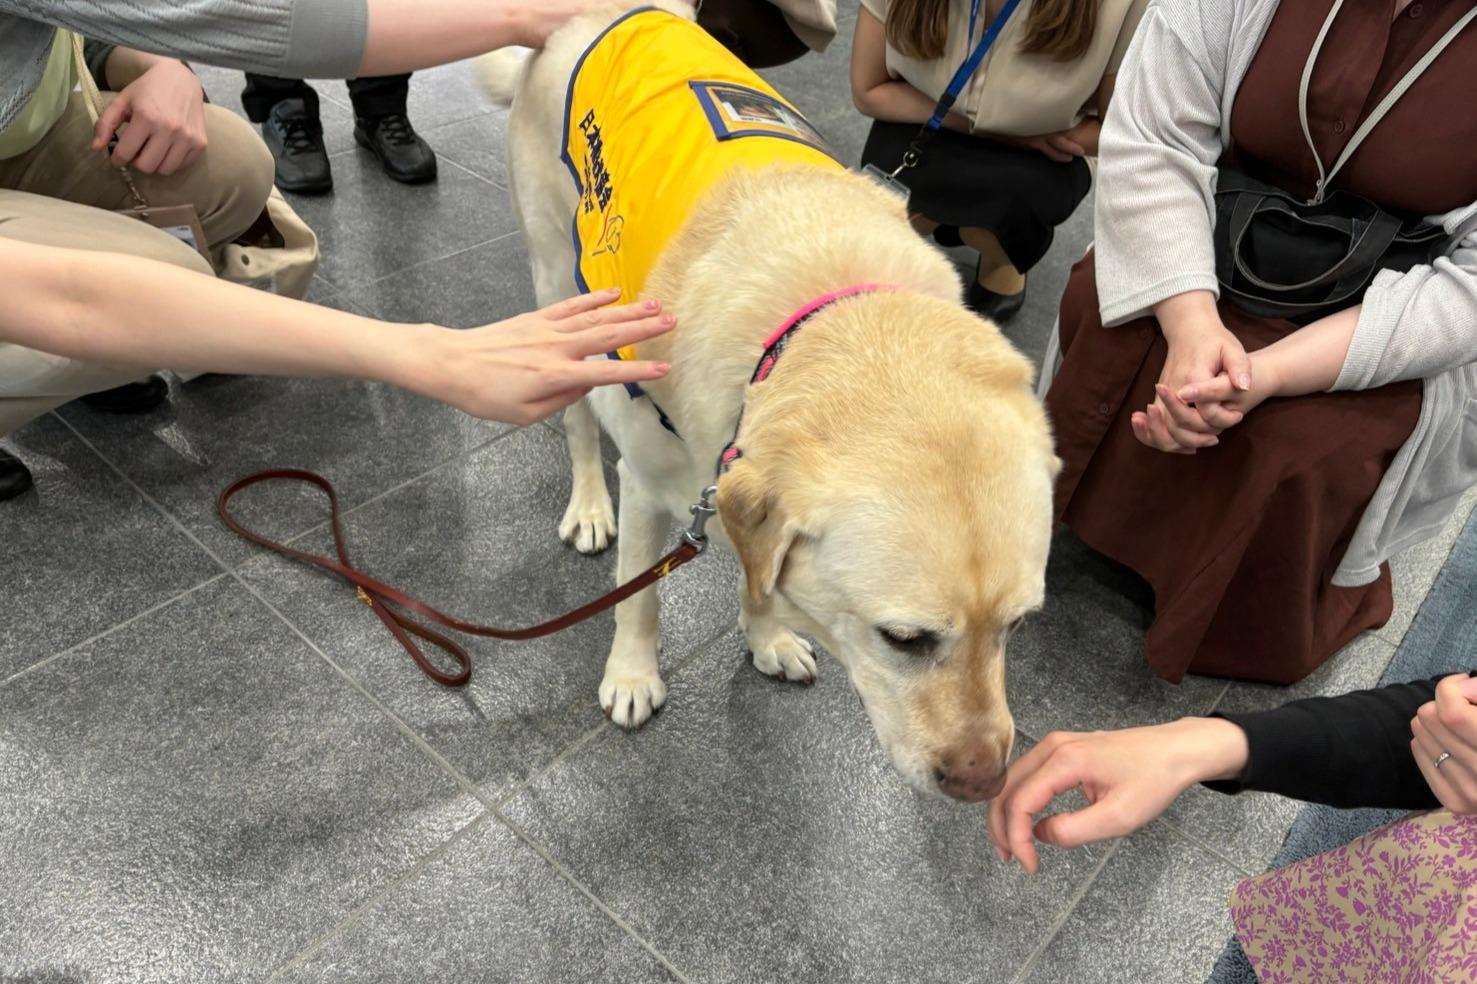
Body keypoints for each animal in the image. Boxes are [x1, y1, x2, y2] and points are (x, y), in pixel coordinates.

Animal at [478, 0, 1057, 797]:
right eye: (903, 639)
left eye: (1019, 625)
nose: (982, 783)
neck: (822, 323)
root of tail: (597, 14)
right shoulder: (652, 483)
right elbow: (639, 593)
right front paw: (632, 675)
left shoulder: (738, 487)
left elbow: (758, 574)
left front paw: (768, 635)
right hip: (559, 291)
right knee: (577, 424)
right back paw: (589, 506)